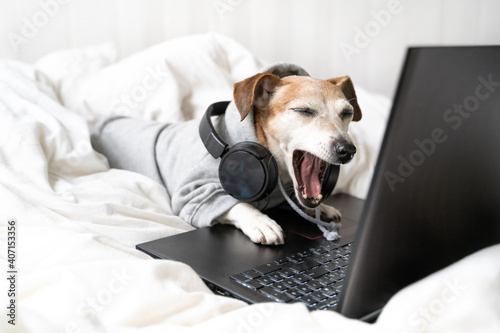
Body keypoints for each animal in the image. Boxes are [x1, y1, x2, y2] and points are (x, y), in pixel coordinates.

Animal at [92, 63, 362, 244]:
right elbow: (235, 203)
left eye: (347, 113)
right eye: (304, 111)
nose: (347, 150)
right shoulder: (191, 194)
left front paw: (323, 207)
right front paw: (260, 221)